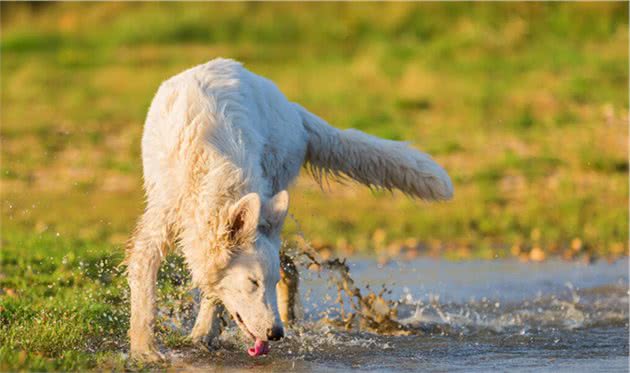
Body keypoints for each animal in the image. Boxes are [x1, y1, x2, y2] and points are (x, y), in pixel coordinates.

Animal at [127, 58, 454, 360]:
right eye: (253, 282)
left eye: (266, 283)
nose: (276, 334)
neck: (209, 177)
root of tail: (293, 109)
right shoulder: (158, 224)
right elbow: (146, 296)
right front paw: (145, 351)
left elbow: (216, 294)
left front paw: (204, 331)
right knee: (289, 263)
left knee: (290, 266)